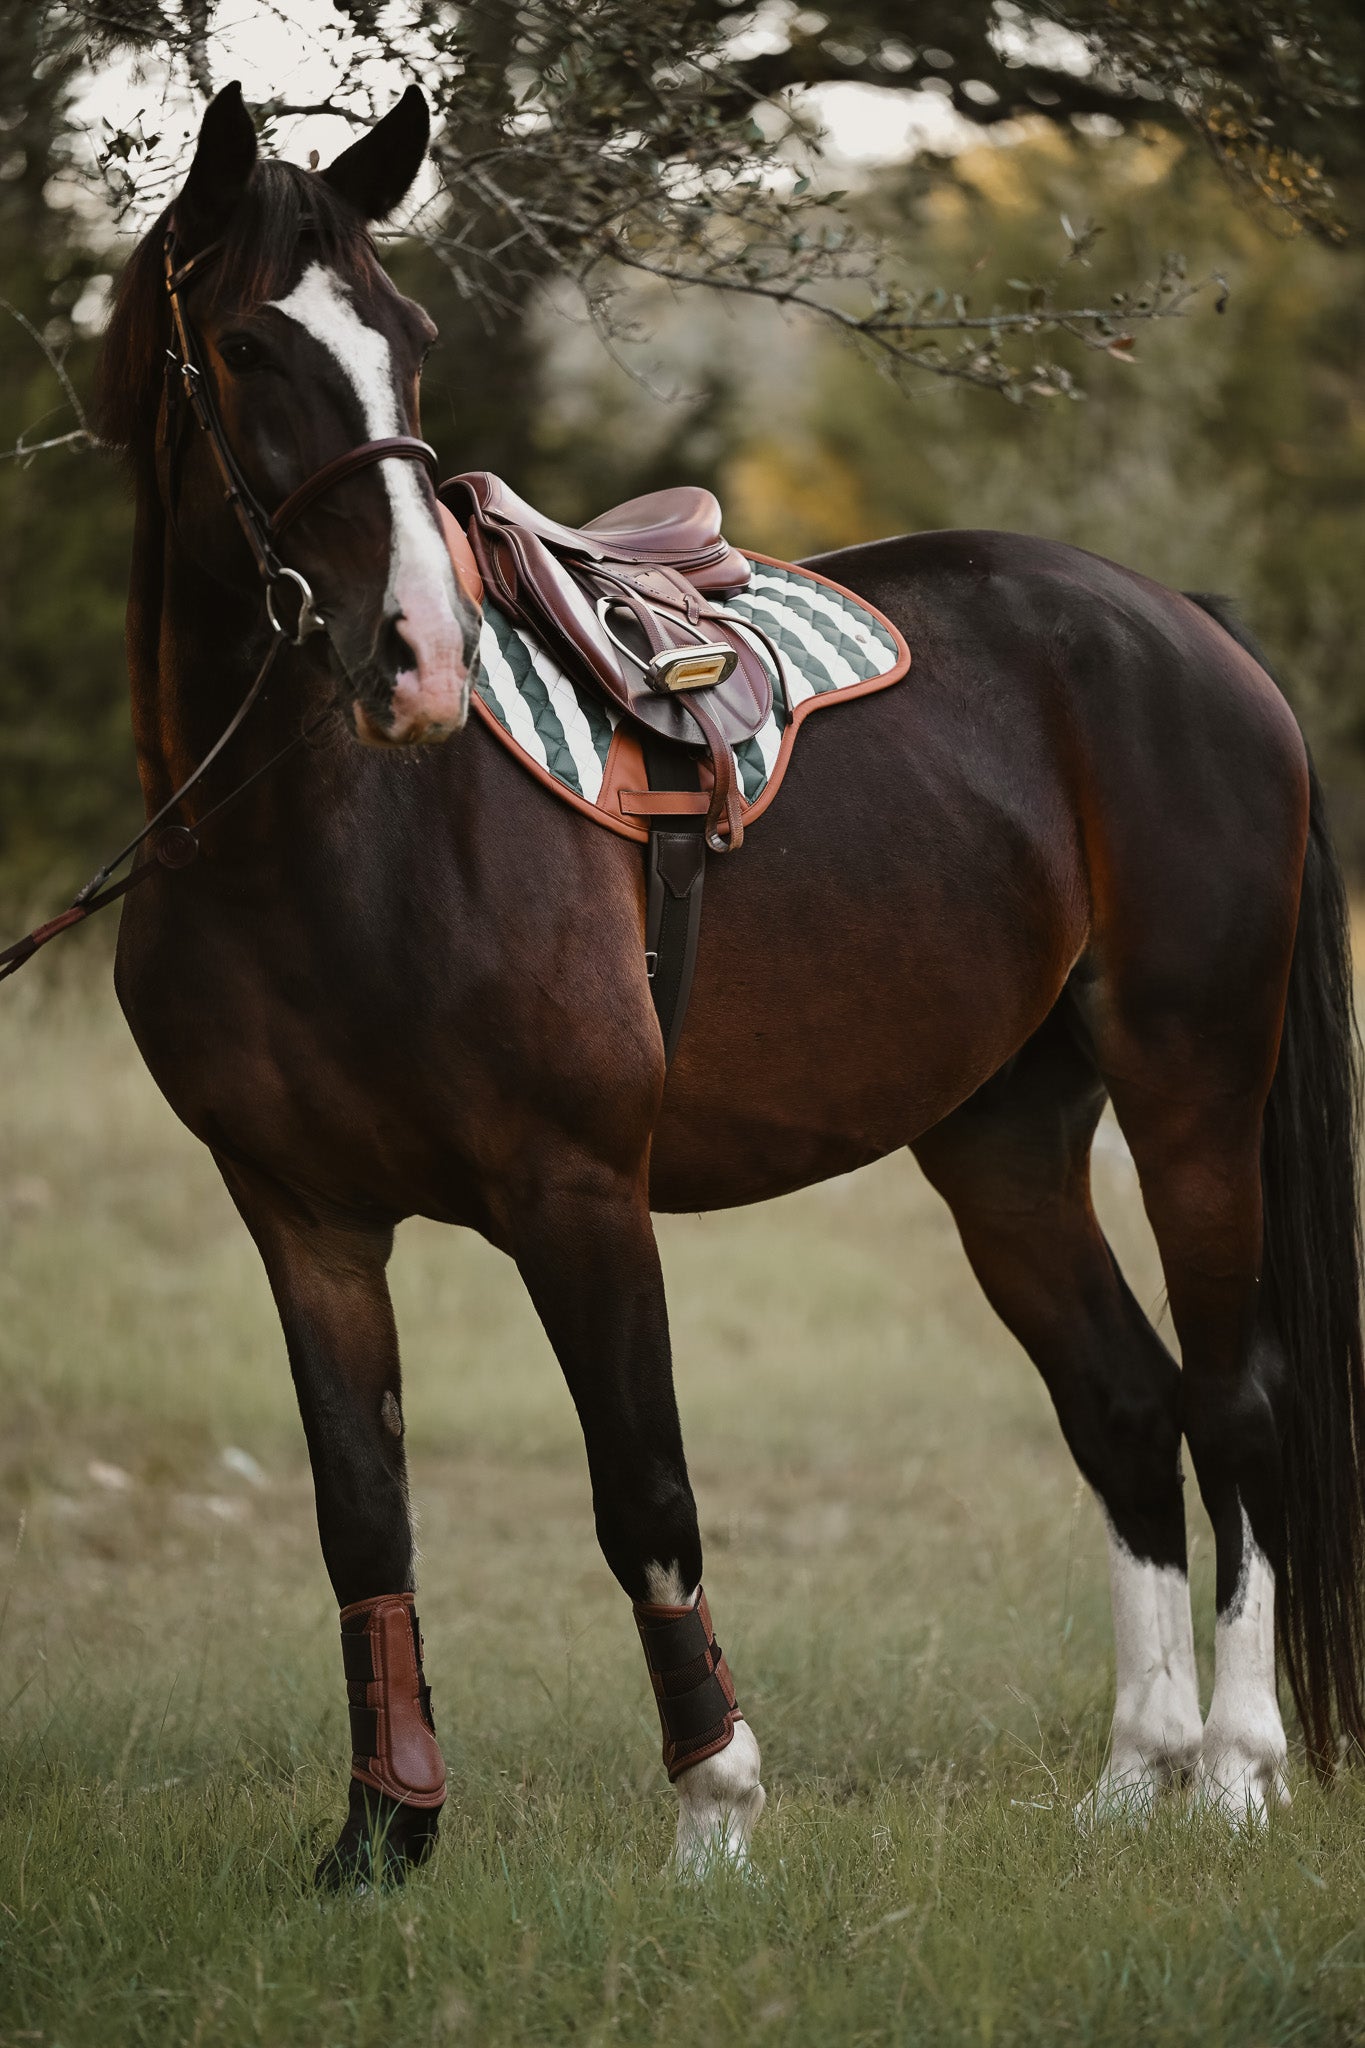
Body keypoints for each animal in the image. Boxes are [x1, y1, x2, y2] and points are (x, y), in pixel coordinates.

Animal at [91, 80, 1365, 1886]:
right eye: (253, 346)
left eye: (409, 340)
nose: (417, 655)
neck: (321, 838)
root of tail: (1181, 625)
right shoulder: (301, 1219)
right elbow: (361, 1518)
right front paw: (382, 1837)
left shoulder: (576, 1196)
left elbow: (647, 1497)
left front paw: (714, 1813)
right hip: (1004, 1136)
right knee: (1124, 1401)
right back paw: (1140, 1773)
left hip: (1195, 1094)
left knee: (1236, 1402)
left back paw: (1243, 1769)